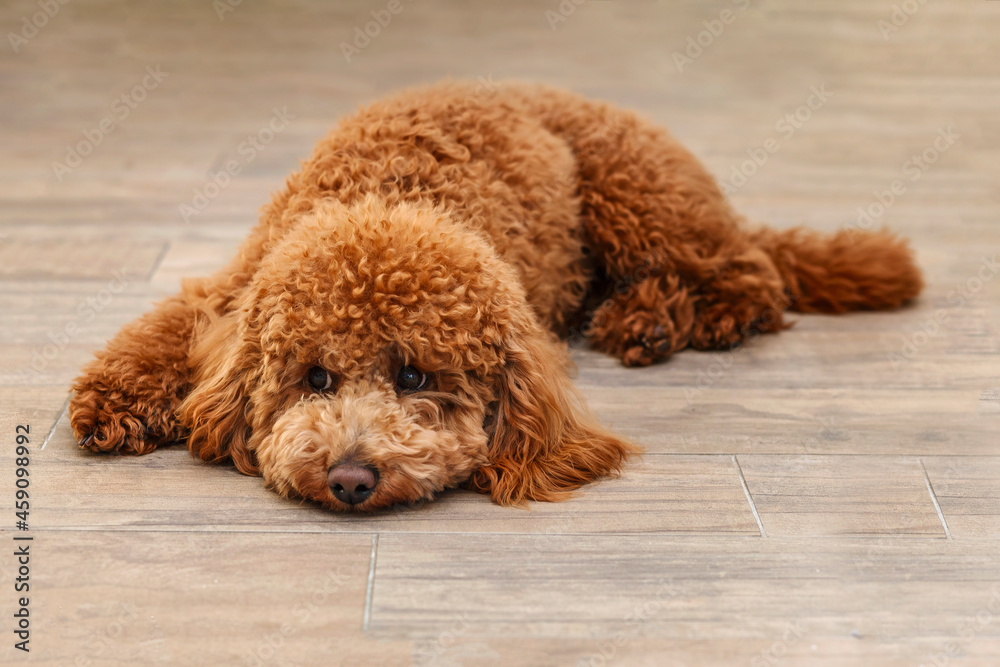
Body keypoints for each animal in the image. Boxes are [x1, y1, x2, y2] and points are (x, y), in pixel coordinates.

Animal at [68, 82, 920, 512]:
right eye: (314, 377)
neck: (392, 195)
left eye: (415, 376)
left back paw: (652, 320)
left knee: (749, 279)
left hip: (638, 194)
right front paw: (111, 402)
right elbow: (160, 335)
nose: (350, 477)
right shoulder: (229, 292)